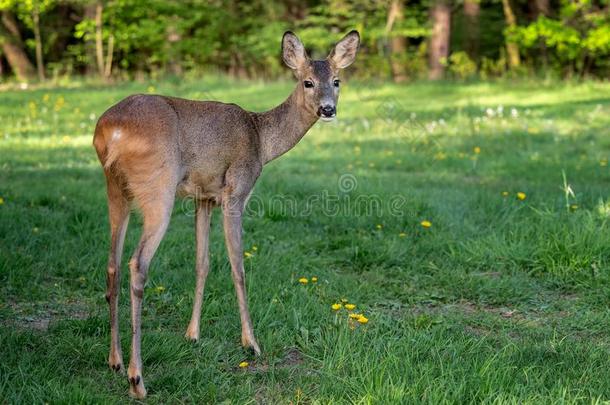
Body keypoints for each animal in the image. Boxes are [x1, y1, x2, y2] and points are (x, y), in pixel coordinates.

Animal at [90, 31, 356, 398]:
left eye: (337, 80)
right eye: (308, 82)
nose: (328, 109)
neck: (262, 139)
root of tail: (109, 131)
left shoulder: (203, 197)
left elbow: (202, 263)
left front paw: (192, 334)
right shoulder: (235, 191)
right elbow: (238, 267)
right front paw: (251, 343)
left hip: (116, 189)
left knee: (112, 264)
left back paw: (114, 361)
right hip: (158, 187)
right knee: (137, 264)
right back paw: (137, 379)